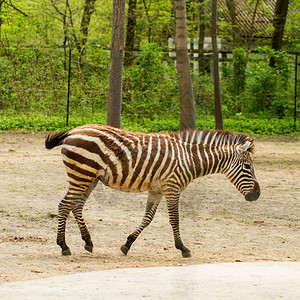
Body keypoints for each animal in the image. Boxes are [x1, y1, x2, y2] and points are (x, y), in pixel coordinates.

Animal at [45, 124, 260, 258]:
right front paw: (183, 248)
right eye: (248, 167)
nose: (257, 195)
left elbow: (147, 218)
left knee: (76, 206)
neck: (190, 159)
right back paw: (63, 246)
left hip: (89, 178)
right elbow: (174, 219)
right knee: (64, 205)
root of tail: (72, 131)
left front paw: (127, 244)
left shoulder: (157, 190)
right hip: (81, 175)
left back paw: (88, 242)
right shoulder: (172, 187)